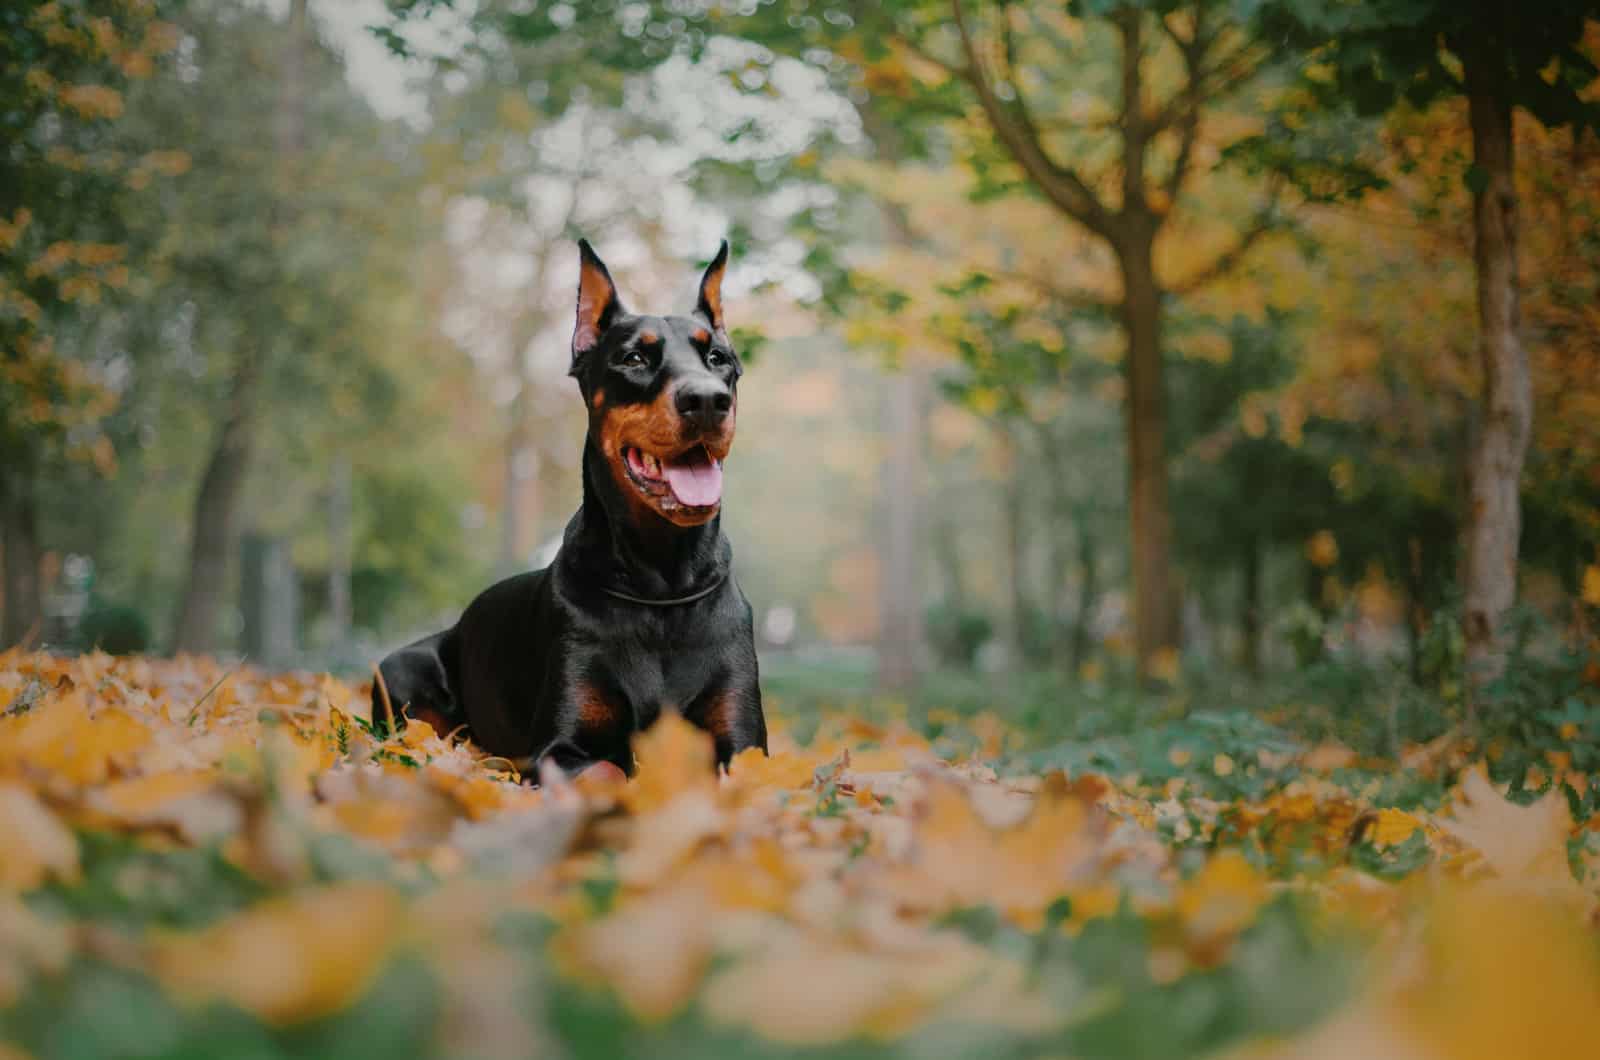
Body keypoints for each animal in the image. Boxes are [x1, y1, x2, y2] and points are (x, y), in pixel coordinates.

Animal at [377, 244, 771, 784]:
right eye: (633, 357)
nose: (708, 400)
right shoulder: (560, 746)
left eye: (718, 358)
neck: (661, 585)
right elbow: (607, 772)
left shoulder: (746, 742)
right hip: (399, 672)